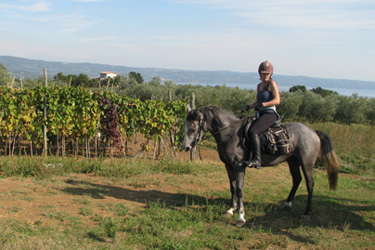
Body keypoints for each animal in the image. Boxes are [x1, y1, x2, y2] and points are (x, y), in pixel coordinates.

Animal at [182, 106, 340, 228]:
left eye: (193, 129)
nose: (186, 147)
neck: (230, 133)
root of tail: (313, 132)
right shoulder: (228, 166)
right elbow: (232, 188)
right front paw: (231, 209)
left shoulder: (239, 167)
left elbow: (239, 190)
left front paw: (240, 217)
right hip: (293, 161)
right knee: (297, 179)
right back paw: (288, 204)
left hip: (306, 163)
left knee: (310, 184)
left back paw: (307, 213)